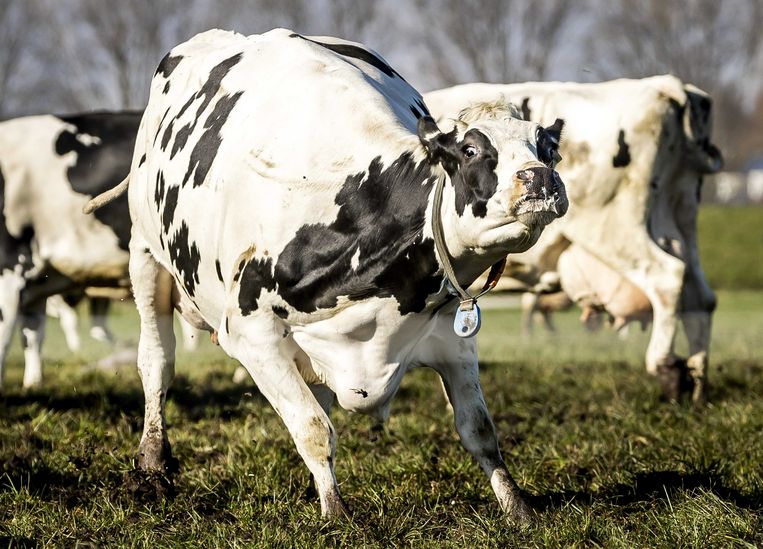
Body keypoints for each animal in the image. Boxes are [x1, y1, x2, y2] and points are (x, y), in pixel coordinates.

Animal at [91, 27, 568, 520]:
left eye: (550, 150)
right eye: (471, 149)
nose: (539, 179)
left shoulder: (451, 337)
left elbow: (480, 431)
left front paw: (518, 509)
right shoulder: (252, 333)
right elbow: (313, 429)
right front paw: (336, 513)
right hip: (145, 257)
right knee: (156, 362)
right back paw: (151, 464)